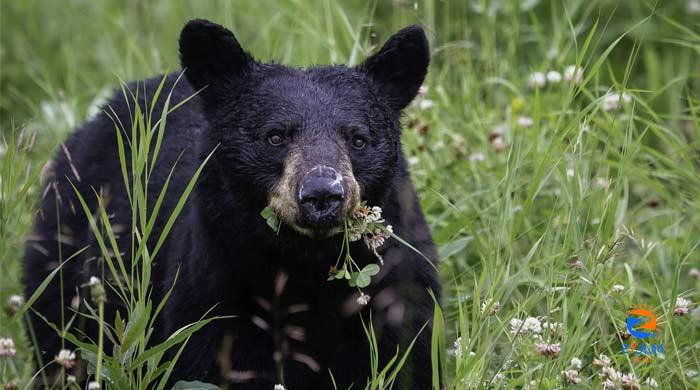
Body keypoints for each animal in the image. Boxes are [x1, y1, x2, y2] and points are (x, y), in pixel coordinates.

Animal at [24, 19, 440, 390]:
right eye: (275, 136)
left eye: (358, 139)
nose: (322, 193)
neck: (305, 265)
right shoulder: (214, 287)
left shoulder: (397, 289)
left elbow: (406, 361)